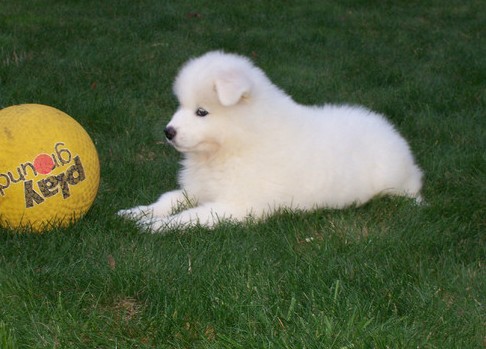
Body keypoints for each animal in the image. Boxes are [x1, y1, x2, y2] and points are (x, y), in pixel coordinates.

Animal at [117, 51, 422, 231]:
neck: (234, 145)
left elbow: (193, 216)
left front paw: (158, 226)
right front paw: (138, 213)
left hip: (393, 182)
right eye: (180, 105)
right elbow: (168, 199)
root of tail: (392, 132)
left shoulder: (240, 205)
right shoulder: (198, 188)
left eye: (201, 112)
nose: (168, 131)